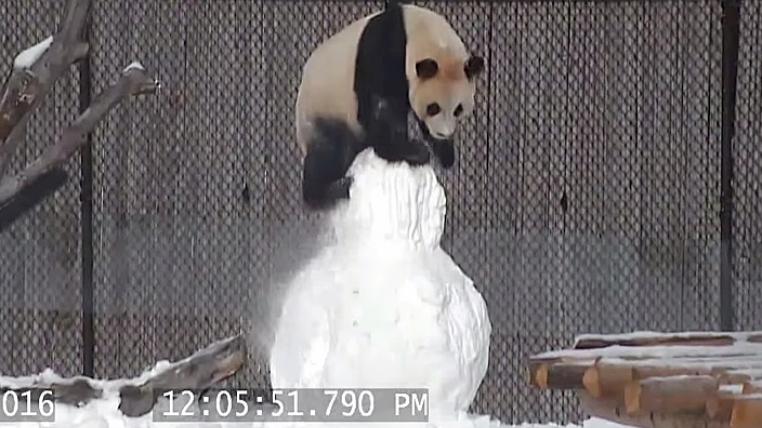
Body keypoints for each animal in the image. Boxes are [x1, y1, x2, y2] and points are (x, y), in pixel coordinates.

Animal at [296, 0, 484, 209]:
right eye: (433, 107)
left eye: (458, 109)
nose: (443, 133)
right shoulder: (384, 52)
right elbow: (381, 107)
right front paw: (409, 151)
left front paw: (445, 153)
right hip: (325, 111)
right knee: (331, 151)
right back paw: (326, 191)